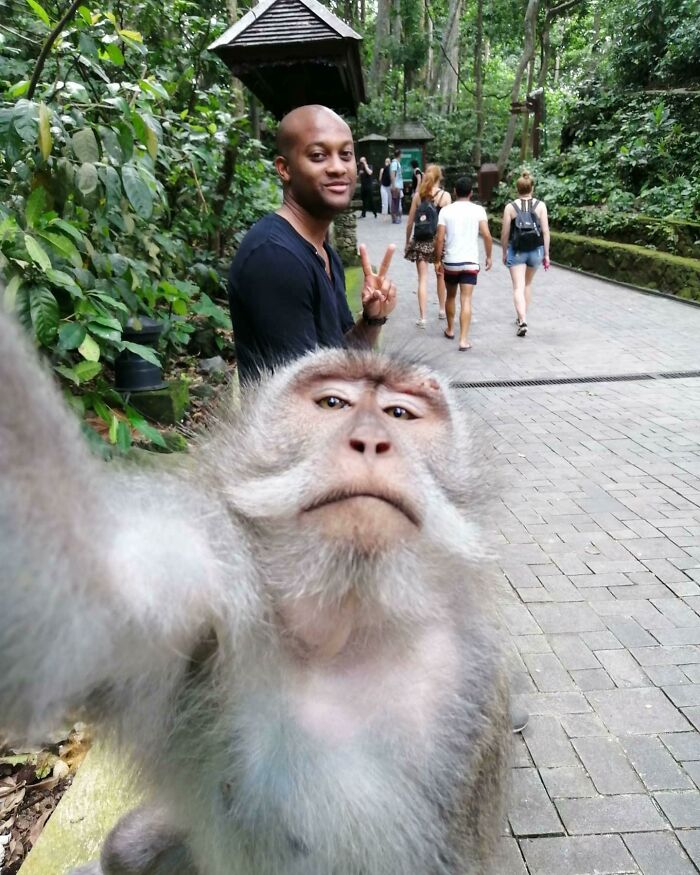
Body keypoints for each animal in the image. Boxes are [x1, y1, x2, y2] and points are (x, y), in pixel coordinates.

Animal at [0, 307, 510, 875]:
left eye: (400, 414)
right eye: (333, 403)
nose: (372, 441)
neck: (334, 636)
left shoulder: (469, 691)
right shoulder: (216, 572)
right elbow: (79, 584)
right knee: (127, 846)